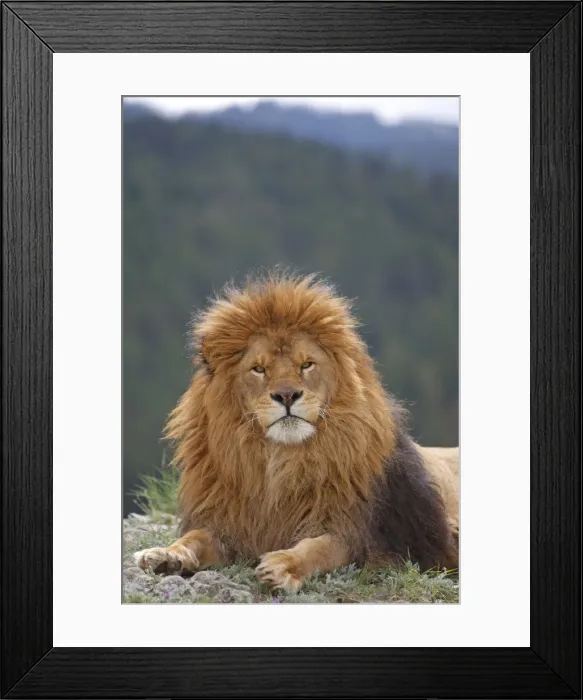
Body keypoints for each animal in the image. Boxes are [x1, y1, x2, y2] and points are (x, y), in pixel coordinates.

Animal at [135, 272, 459, 593]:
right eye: (259, 369)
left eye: (307, 364)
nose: (287, 395)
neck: (281, 462)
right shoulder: (229, 526)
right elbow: (194, 538)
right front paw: (165, 555)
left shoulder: (362, 534)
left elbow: (319, 548)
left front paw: (281, 566)